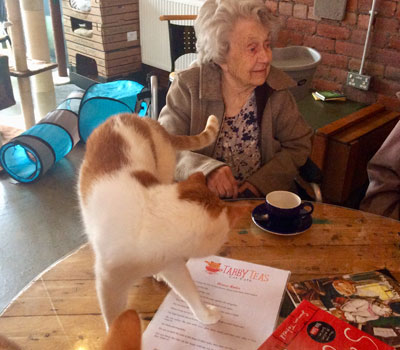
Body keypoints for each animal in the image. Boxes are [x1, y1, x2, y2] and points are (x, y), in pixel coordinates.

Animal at [78, 113, 245, 330]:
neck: (151, 218)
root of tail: (133, 116)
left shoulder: (173, 264)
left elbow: (189, 290)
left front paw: (205, 314)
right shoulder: (108, 284)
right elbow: (114, 319)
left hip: (163, 167)